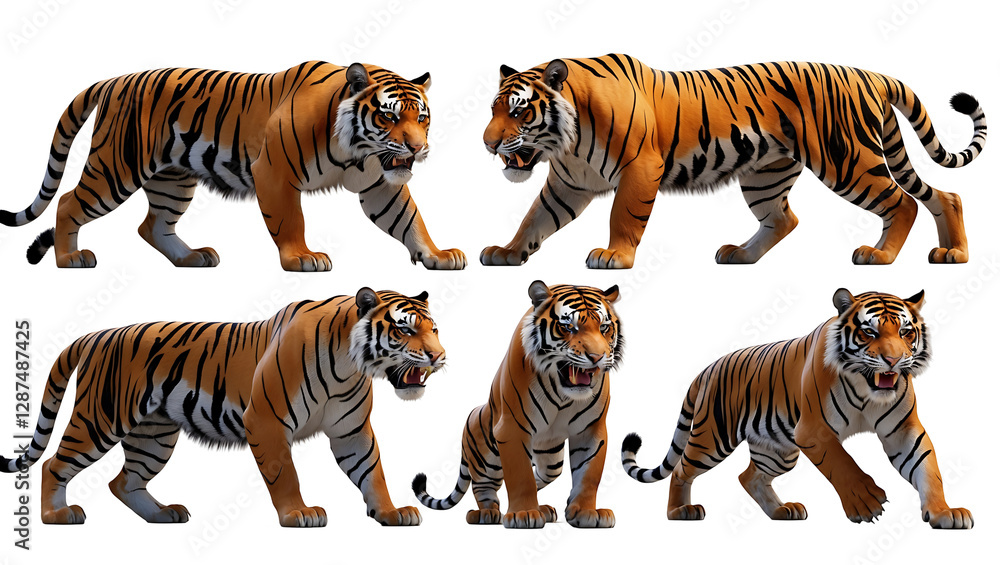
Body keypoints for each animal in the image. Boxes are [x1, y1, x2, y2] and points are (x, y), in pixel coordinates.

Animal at [0, 61, 466, 271]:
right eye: (389, 117)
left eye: (422, 118)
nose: (418, 148)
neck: (359, 151)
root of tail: (116, 79)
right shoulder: (274, 172)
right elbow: (290, 220)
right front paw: (302, 258)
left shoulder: (379, 184)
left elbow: (410, 220)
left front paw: (439, 255)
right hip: (116, 167)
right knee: (68, 202)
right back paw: (70, 258)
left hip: (173, 180)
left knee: (153, 225)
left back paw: (192, 258)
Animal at [0, 289, 444, 527]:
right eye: (404, 329)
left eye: (434, 329)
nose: (440, 357)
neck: (350, 366)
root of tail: (96, 334)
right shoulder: (265, 421)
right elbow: (285, 474)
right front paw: (299, 514)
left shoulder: (352, 431)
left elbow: (372, 472)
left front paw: (391, 512)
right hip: (100, 418)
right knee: (53, 464)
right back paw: (57, 516)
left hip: (154, 436)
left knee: (123, 481)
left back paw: (162, 515)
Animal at [412, 281, 621, 529]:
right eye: (568, 327)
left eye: (604, 328)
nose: (597, 357)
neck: (564, 395)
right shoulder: (511, 429)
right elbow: (521, 476)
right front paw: (525, 514)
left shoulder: (591, 431)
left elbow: (588, 475)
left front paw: (585, 512)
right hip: (486, 460)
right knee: (483, 487)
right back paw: (487, 514)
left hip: (551, 458)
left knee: (540, 475)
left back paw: (544, 508)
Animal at [480, 55, 987, 268]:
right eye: (492, 109)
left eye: (519, 111)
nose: (487, 144)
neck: (566, 140)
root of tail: (872, 74)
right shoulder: (571, 184)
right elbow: (534, 219)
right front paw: (507, 252)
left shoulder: (640, 170)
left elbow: (622, 216)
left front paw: (614, 257)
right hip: (765, 175)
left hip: (849, 161)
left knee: (905, 203)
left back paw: (880, 255)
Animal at [621, 289, 973, 529]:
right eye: (869, 332)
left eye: (905, 332)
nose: (894, 360)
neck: (867, 389)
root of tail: (707, 369)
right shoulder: (814, 431)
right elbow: (842, 463)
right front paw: (865, 501)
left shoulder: (903, 431)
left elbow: (928, 469)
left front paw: (944, 512)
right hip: (713, 438)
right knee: (682, 469)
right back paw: (679, 512)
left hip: (777, 449)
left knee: (749, 476)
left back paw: (780, 511)